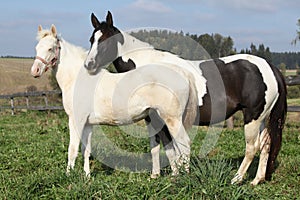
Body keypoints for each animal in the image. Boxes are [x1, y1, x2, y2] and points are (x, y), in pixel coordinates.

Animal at [31, 25, 199, 177]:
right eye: (37, 48)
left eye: (51, 48)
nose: (35, 71)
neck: (77, 79)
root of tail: (184, 73)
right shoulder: (88, 123)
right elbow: (86, 150)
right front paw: (87, 177)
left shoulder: (75, 120)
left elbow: (72, 149)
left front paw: (68, 177)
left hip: (172, 119)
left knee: (185, 144)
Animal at [84, 11, 286, 185]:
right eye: (92, 39)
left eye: (105, 40)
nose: (89, 65)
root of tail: (270, 68)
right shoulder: (151, 117)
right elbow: (158, 145)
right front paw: (158, 175)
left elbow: (171, 146)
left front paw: (176, 175)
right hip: (262, 118)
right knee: (266, 144)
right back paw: (256, 180)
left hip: (252, 117)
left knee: (252, 147)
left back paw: (236, 179)